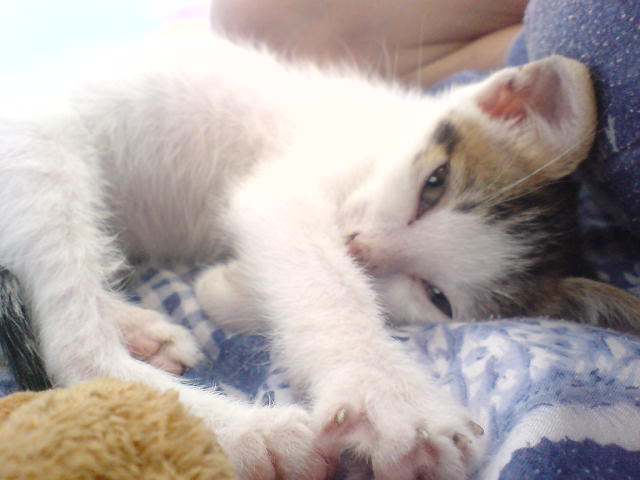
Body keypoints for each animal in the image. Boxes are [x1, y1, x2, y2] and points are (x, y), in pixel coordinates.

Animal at [1, 35, 639, 480]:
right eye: (431, 186)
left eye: (436, 295)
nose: (358, 246)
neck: (379, 135)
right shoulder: (288, 188)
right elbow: (325, 279)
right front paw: (389, 400)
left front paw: (229, 288)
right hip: (43, 147)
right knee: (73, 350)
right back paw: (249, 435)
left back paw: (142, 332)